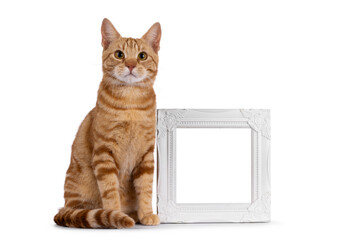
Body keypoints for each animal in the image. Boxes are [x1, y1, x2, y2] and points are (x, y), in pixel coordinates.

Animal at [53, 18, 161, 229]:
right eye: (119, 55)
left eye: (142, 56)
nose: (130, 65)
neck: (131, 104)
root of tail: (64, 208)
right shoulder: (104, 154)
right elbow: (111, 190)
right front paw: (115, 215)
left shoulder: (146, 155)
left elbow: (145, 189)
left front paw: (146, 214)